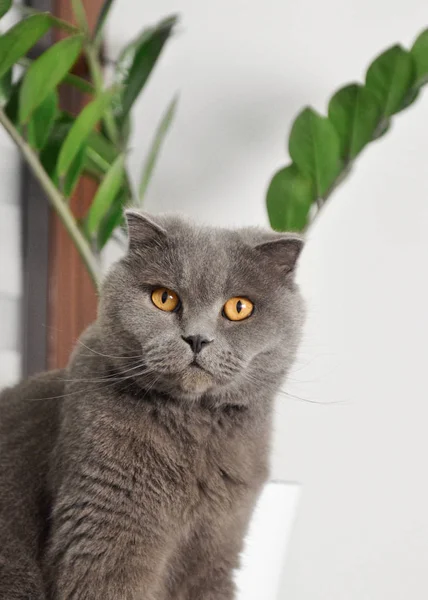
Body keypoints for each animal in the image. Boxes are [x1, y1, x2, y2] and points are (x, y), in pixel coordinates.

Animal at [0, 212, 304, 600]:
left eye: (239, 307)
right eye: (164, 298)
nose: (197, 338)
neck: (195, 432)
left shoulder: (217, 553)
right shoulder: (106, 537)